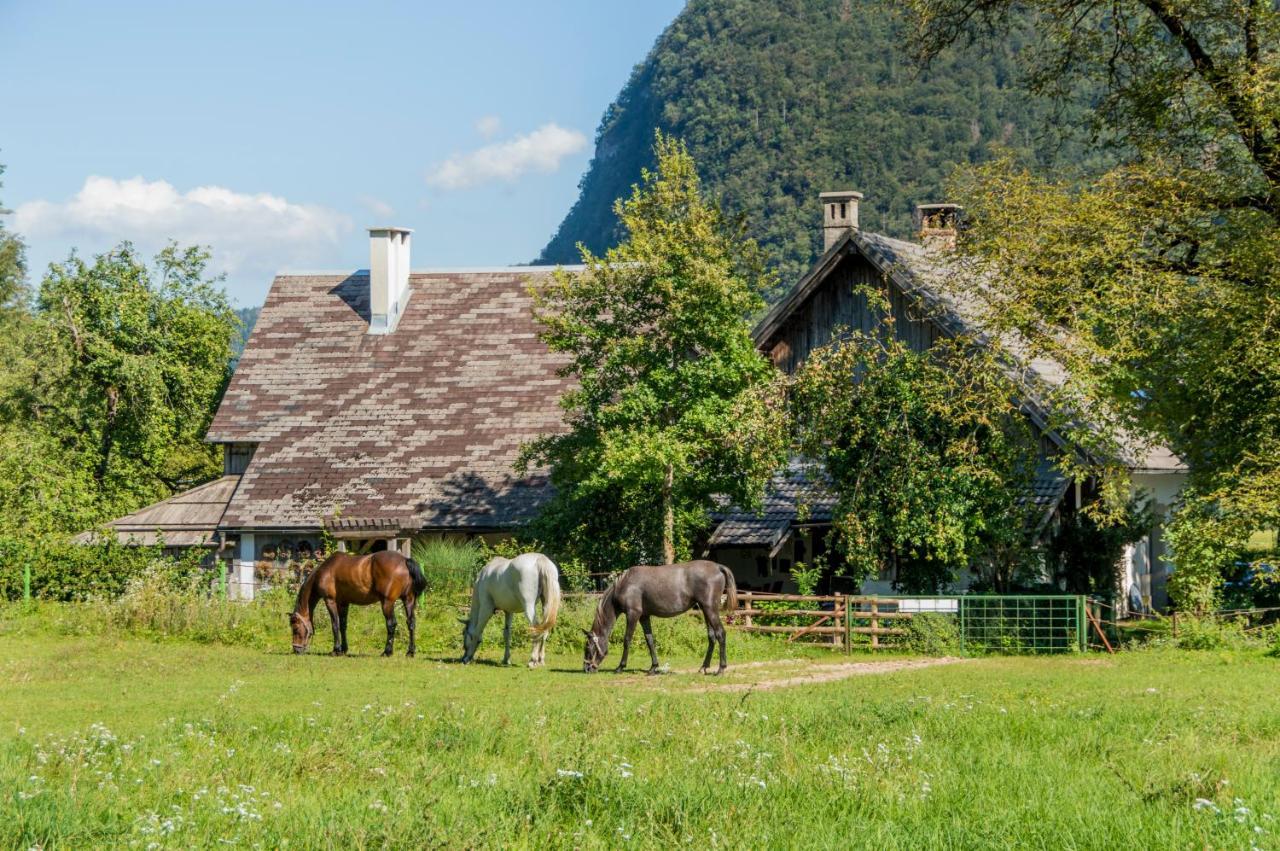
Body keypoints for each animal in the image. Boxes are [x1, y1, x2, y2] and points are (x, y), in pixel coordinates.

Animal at [290, 550, 430, 655]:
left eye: (295, 629)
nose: (296, 650)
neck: (326, 570)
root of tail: (404, 560)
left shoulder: (330, 601)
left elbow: (335, 625)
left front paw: (336, 650)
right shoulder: (343, 603)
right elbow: (343, 625)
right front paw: (344, 649)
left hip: (387, 603)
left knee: (391, 624)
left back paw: (387, 652)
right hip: (408, 600)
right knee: (411, 623)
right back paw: (410, 652)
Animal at [583, 560, 742, 675]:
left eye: (588, 647)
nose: (587, 668)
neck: (625, 584)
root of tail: (718, 567)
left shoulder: (633, 614)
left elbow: (627, 640)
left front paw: (620, 667)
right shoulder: (644, 617)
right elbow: (650, 640)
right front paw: (653, 667)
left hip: (710, 609)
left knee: (721, 634)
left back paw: (721, 669)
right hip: (705, 610)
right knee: (712, 636)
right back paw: (703, 667)